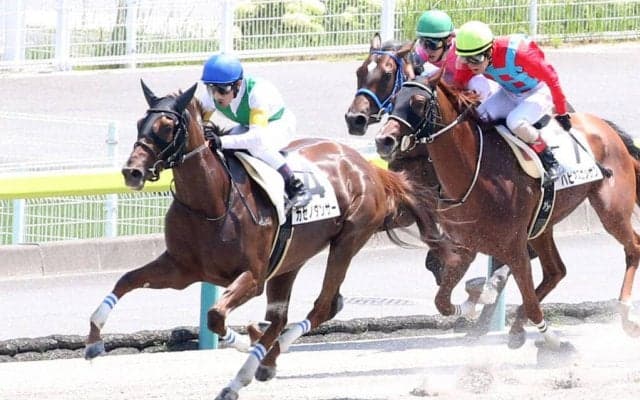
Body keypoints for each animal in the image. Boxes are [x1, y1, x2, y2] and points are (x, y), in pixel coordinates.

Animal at [84, 81, 424, 400]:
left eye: (167, 127)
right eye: (140, 122)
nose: (132, 171)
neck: (212, 202)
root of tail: (367, 167)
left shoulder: (253, 276)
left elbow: (215, 316)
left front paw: (243, 341)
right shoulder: (181, 269)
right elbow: (126, 280)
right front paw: (94, 341)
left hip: (347, 241)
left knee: (322, 306)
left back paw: (251, 365)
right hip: (291, 259)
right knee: (282, 317)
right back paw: (259, 364)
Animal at [375, 75, 640, 354]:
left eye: (418, 102)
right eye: (393, 100)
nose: (383, 141)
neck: (475, 173)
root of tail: (605, 127)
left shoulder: (514, 248)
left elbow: (530, 302)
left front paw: (554, 341)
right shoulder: (466, 245)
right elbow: (443, 301)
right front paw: (474, 303)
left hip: (611, 210)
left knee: (633, 247)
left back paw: (625, 314)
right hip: (541, 227)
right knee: (556, 271)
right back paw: (516, 328)